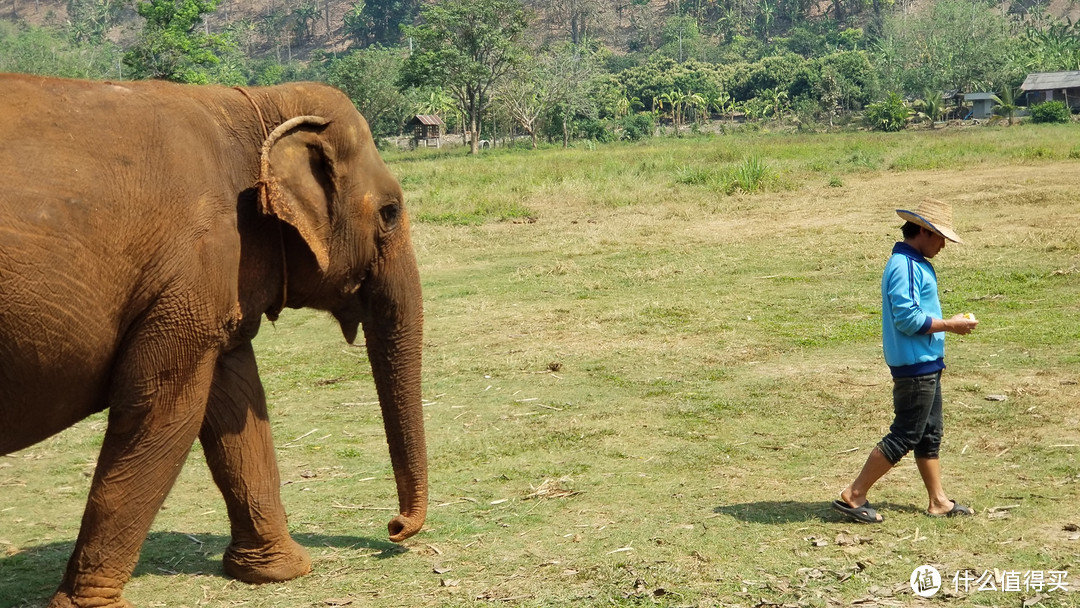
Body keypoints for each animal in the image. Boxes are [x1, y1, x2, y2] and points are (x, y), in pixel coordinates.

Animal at [0, 73, 427, 604]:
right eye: (389, 212)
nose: (395, 527)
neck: (256, 105)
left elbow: (237, 400)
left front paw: (278, 572)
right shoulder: (191, 269)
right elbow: (164, 408)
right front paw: (89, 604)